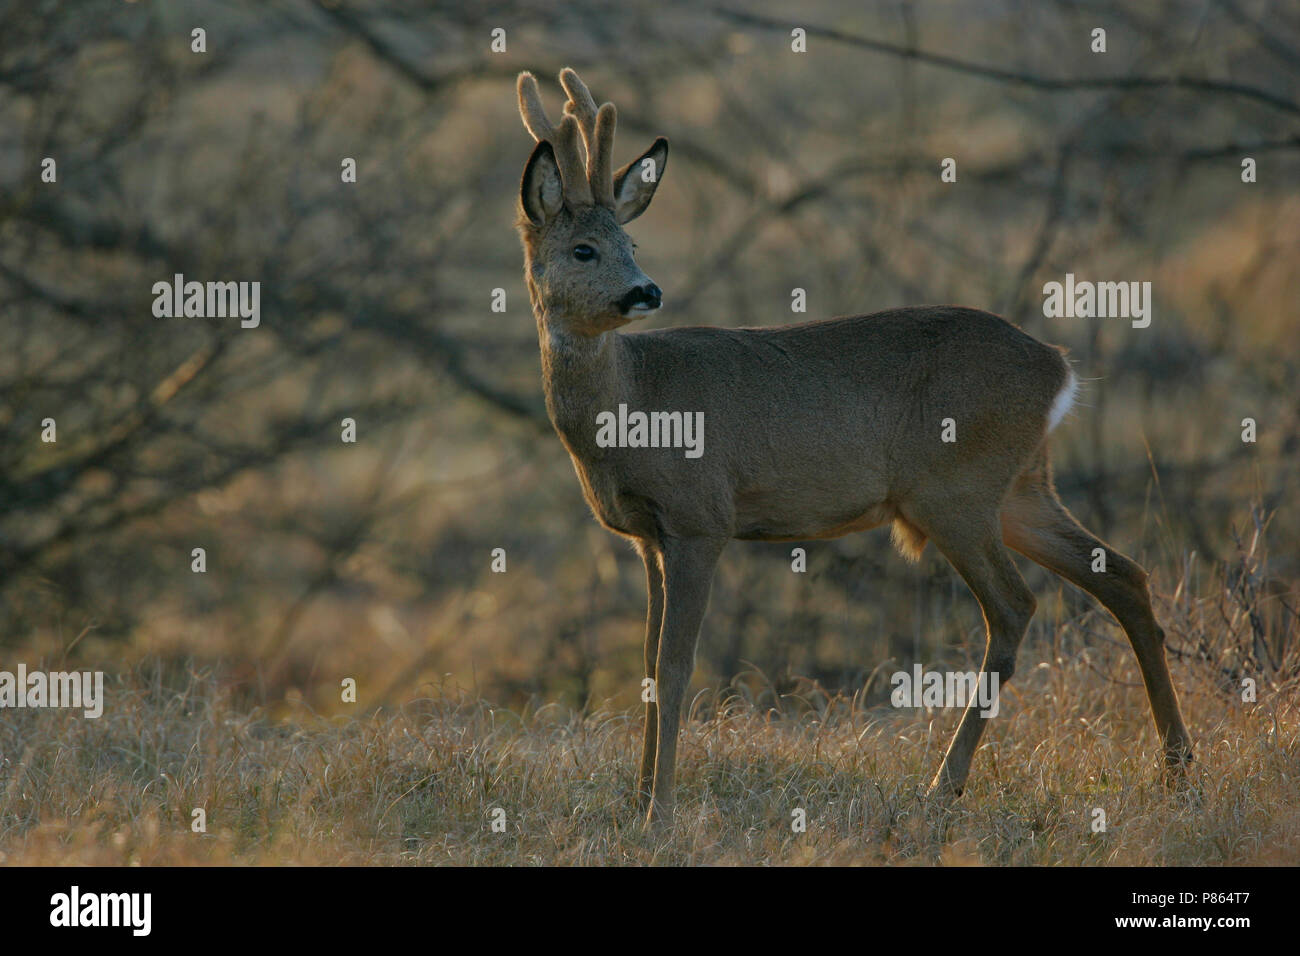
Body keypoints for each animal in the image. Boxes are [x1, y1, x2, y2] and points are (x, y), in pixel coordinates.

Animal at [513, 68, 1193, 829]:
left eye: (632, 248)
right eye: (584, 249)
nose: (647, 290)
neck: (631, 406)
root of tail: (1060, 368)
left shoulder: (700, 517)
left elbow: (676, 665)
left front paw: (659, 809)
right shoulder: (645, 536)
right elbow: (648, 667)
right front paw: (636, 800)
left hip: (955, 488)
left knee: (1015, 605)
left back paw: (943, 786)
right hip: (1020, 488)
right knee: (1124, 576)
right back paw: (1176, 769)